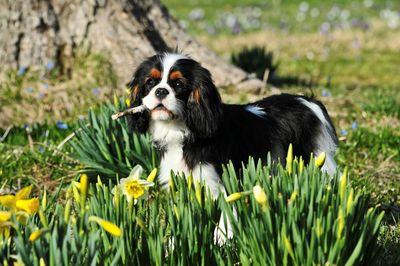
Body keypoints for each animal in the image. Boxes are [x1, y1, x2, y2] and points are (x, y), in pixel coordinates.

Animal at [127, 52, 338, 197]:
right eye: (150, 82)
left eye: (178, 84)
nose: (161, 91)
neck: (181, 130)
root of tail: (308, 100)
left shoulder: (213, 182)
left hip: (316, 158)